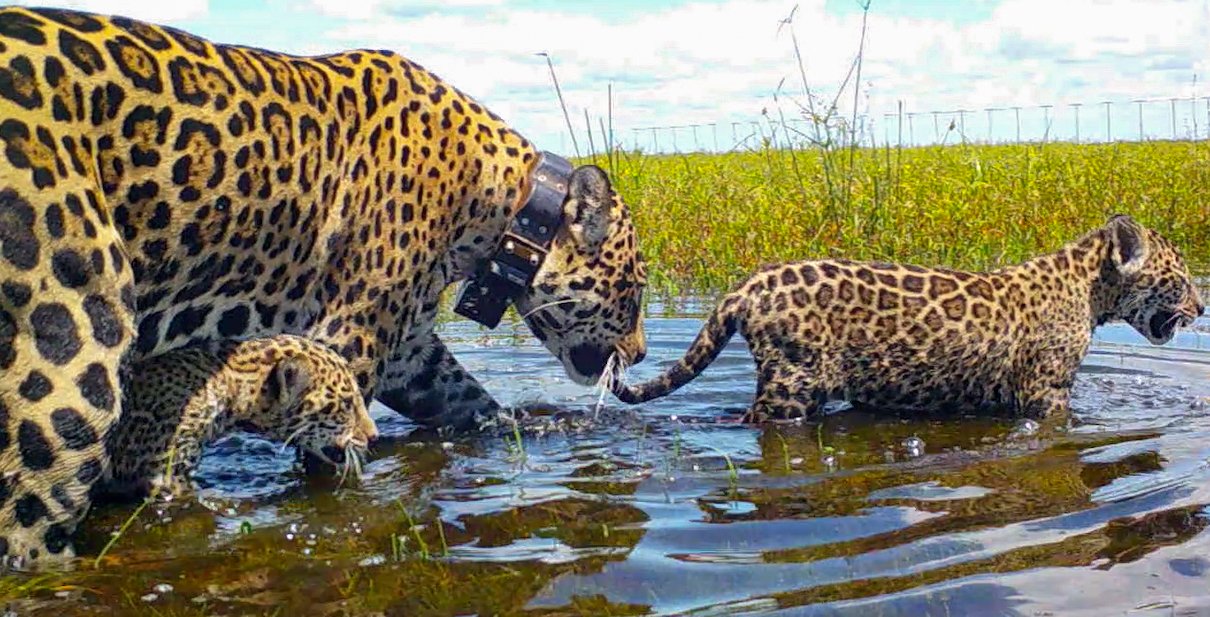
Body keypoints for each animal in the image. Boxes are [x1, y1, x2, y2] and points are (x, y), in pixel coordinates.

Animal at [613, 215, 1204, 423]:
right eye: (1181, 278)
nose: (1201, 309)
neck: (1089, 286)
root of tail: (748, 284)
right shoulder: (1046, 392)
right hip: (792, 384)